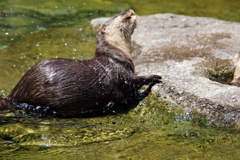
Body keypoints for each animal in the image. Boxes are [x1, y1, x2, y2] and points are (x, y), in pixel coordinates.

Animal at [0, 9, 162, 117]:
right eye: (117, 15)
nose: (129, 10)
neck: (116, 54)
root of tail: (16, 91)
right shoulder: (120, 73)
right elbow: (134, 81)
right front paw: (154, 77)